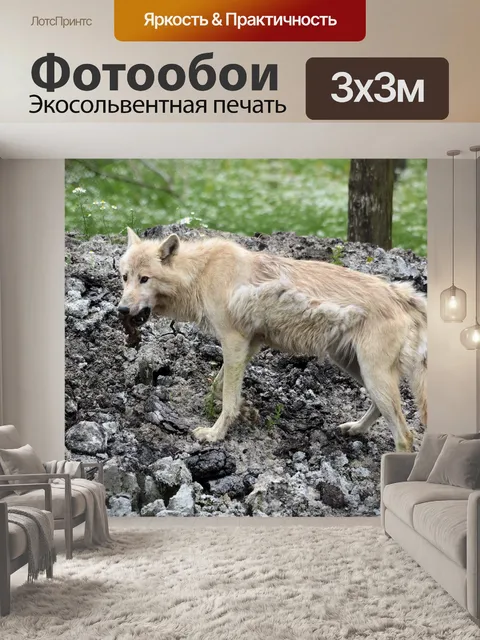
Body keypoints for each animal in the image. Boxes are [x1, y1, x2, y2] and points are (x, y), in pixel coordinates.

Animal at [118, 229, 427, 451]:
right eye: (125, 277)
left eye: (145, 279)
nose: (121, 309)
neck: (201, 273)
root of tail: (402, 295)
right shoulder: (250, 343)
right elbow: (220, 388)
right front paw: (247, 411)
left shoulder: (233, 341)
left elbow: (227, 398)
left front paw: (215, 434)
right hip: (357, 369)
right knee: (381, 410)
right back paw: (355, 429)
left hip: (373, 376)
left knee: (406, 436)